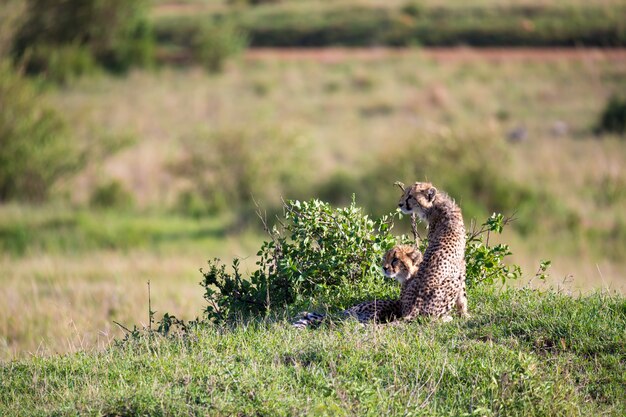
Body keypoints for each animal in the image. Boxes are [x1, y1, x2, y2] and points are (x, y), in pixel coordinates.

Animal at [398, 180, 466, 320]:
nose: (400, 204)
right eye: (405, 194)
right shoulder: (461, 265)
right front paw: (464, 313)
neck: (436, 205)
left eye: (410, 196)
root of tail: (414, 307)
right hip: (452, 282)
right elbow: (463, 294)